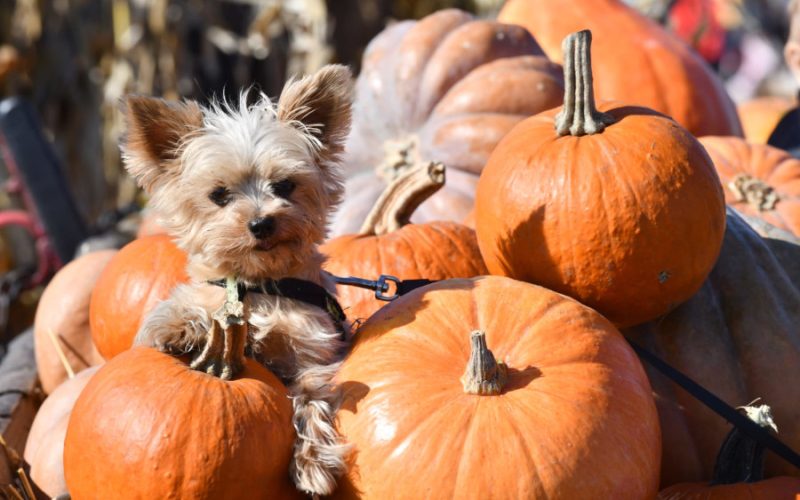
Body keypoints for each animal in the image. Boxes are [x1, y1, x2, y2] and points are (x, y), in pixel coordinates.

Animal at [121, 65, 354, 496]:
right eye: (219, 195)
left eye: (284, 185)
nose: (261, 223)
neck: (257, 284)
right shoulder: (215, 297)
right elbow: (190, 307)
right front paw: (178, 327)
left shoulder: (311, 352)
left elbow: (310, 396)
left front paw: (312, 461)